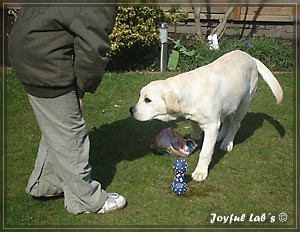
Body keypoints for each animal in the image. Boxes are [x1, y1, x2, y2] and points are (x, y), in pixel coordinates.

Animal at [130, 49, 282, 182]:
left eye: (147, 100)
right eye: (140, 96)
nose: (131, 110)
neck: (191, 91)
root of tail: (250, 57)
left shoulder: (211, 125)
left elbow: (205, 152)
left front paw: (200, 172)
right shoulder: (194, 115)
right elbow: (195, 126)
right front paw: (194, 137)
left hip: (244, 101)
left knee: (235, 123)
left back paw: (227, 142)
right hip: (229, 102)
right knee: (228, 119)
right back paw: (220, 136)